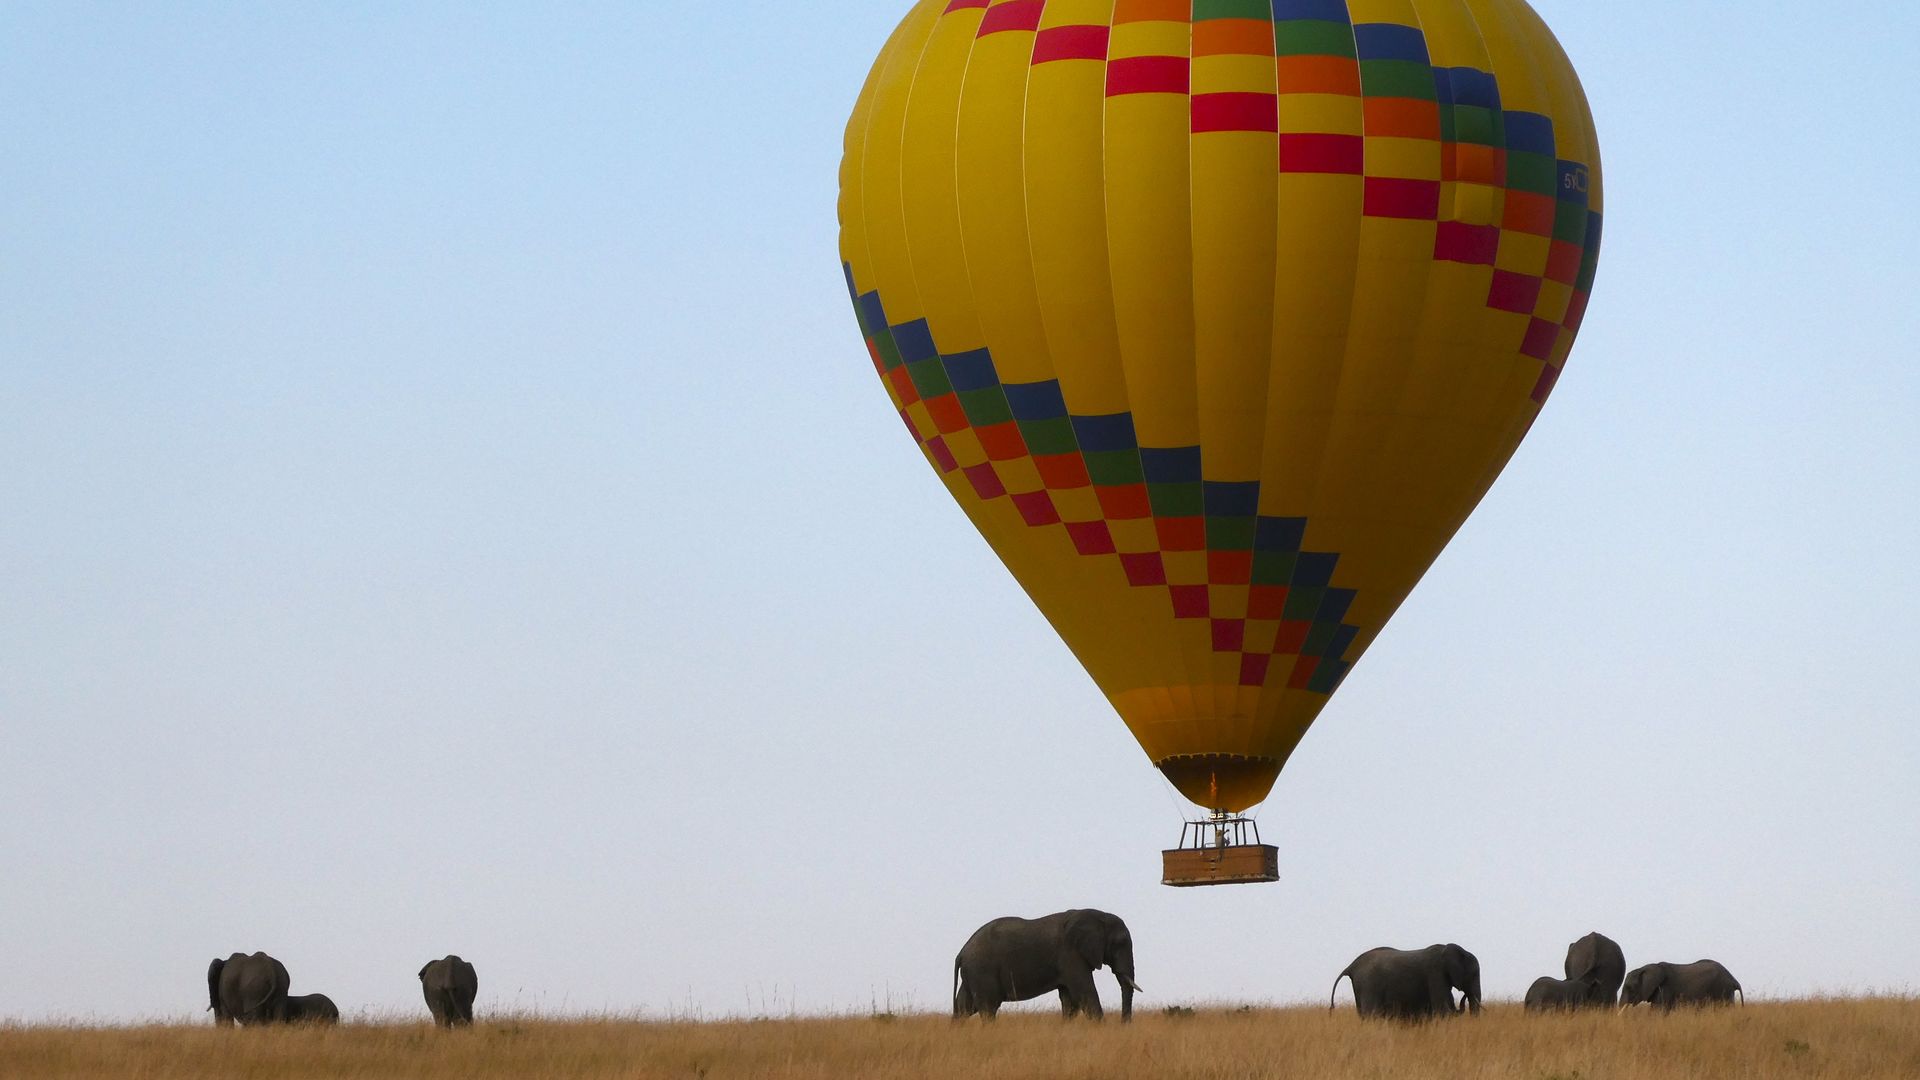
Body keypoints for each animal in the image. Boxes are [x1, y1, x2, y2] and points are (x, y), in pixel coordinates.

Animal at [948, 907, 1128, 1014]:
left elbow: (1069, 999)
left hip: (973, 973)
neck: (1097, 915)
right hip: (982, 970)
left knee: (964, 1006)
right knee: (988, 1007)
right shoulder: (1070, 954)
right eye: (1121, 944)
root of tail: (961, 953)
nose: (1123, 1023)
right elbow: (1085, 992)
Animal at [1336, 941, 1482, 1014]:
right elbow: (1443, 1005)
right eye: (1474, 975)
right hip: (1369, 984)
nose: (1465, 995)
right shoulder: (1435, 973)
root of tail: (1352, 966)